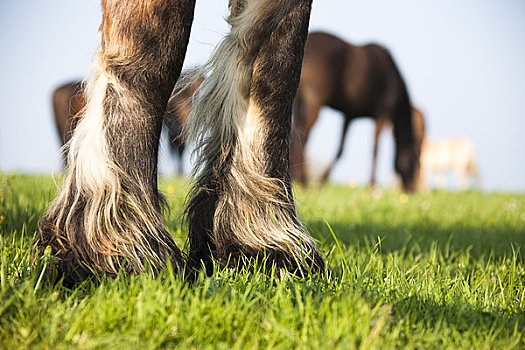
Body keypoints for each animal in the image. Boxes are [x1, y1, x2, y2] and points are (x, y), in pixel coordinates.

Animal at [290, 31, 418, 193]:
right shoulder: (382, 115)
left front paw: (322, 182)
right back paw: (303, 181)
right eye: (414, 164)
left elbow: (341, 150)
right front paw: (372, 185)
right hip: (315, 106)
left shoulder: (349, 117)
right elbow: (375, 149)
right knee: (304, 137)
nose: (412, 191)